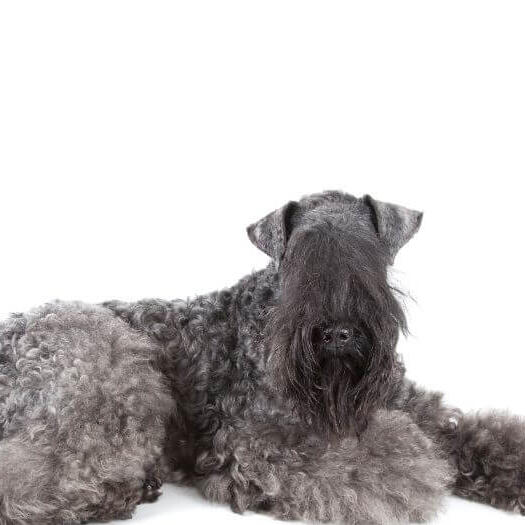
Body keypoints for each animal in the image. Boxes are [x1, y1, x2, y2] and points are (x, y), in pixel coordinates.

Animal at [1, 190, 524, 520]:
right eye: (298, 259)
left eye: (368, 256)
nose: (338, 333)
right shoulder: (260, 443)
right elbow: (383, 461)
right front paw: (419, 467)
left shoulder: (417, 408)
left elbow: (480, 437)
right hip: (109, 372)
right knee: (39, 474)